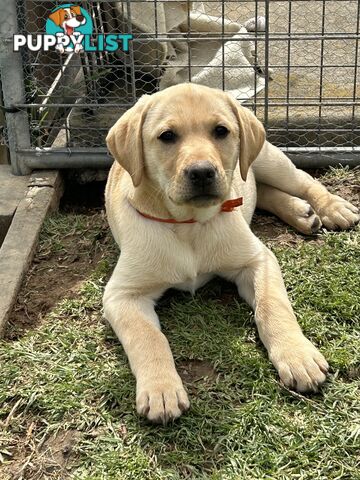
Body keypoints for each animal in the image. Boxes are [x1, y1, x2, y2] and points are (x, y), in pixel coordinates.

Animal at [102, 83, 358, 424]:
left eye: (221, 131)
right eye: (167, 136)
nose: (201, 172)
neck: (188, 224)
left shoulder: (258, 260)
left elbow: (272, 306)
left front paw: (297, 355)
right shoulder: (122, 294)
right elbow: (148, 337)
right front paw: (161, 389)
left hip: (270, 161)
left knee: (301, 180)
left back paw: (330, 207)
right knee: (261, 190)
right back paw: (301, 213)